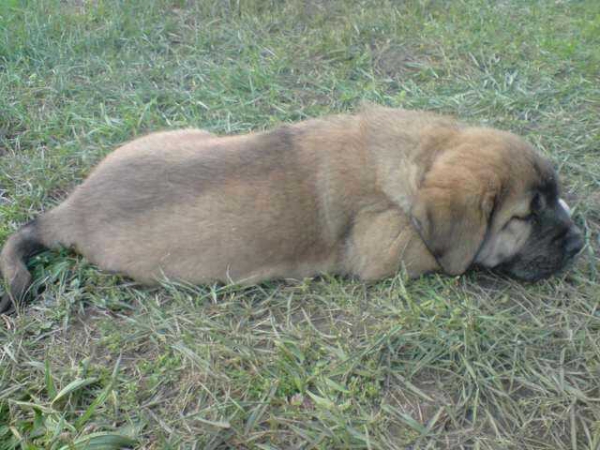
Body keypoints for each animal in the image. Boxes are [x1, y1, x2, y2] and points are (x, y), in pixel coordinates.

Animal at [0, 106, 580, 312]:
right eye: (524, 217)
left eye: (553, 194)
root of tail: (70, 210)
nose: (579, 242)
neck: (417, 161)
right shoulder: (390, 249)